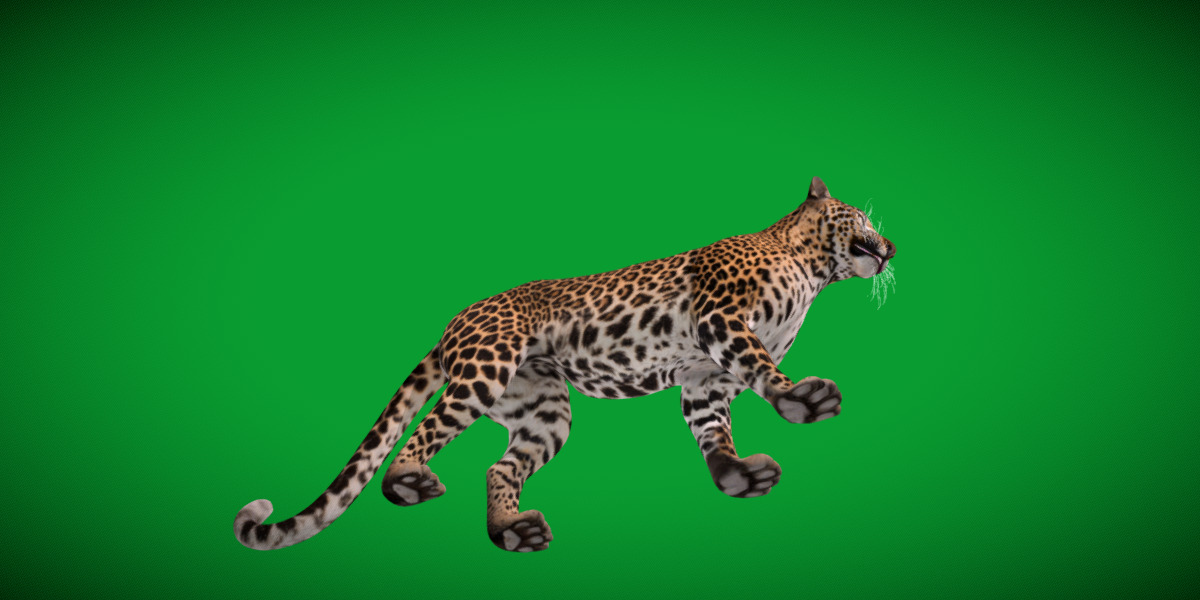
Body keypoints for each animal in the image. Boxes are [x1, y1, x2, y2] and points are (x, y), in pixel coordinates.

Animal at [234, 177, 897, 552]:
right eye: (865, 219)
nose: (892, 248)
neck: (814, 270)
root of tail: (454, 321)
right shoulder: (722, 320)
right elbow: (763, 370)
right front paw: (800, 397)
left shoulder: (705, 378)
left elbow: (713, 429)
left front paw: (734, 473)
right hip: (486, 368)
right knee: (422, 435)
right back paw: (410, 480)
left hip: (542, 407)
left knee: (499, 468)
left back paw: (511, 530)